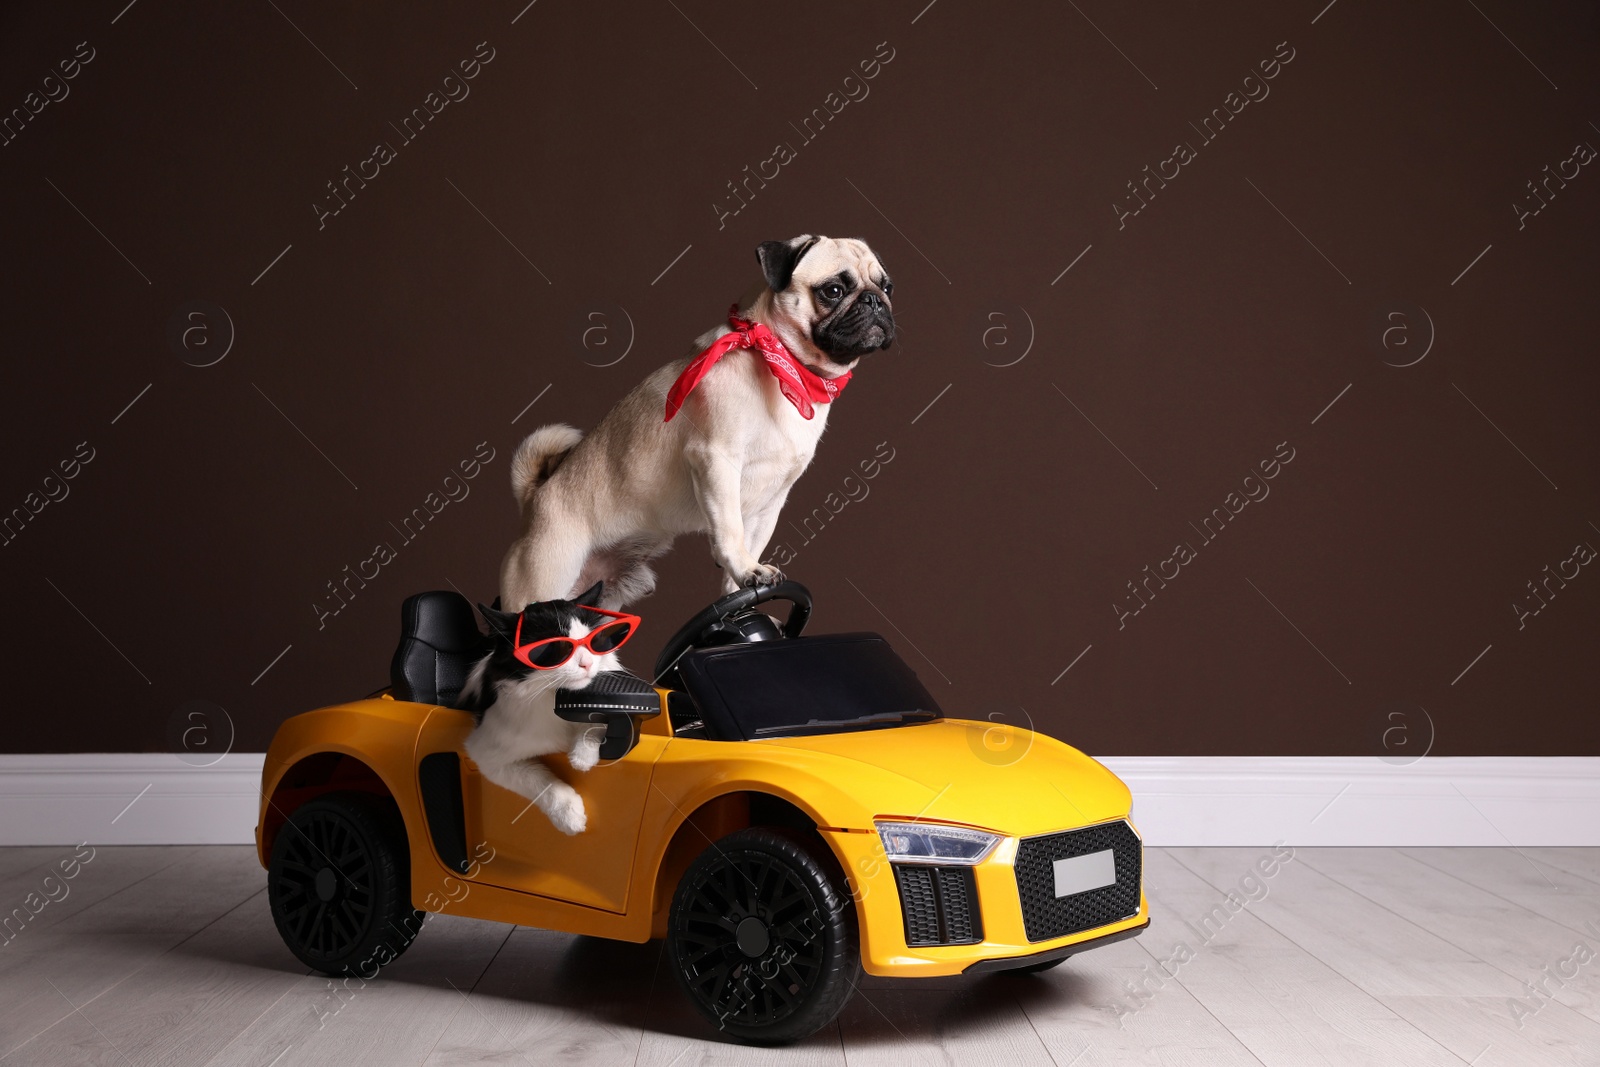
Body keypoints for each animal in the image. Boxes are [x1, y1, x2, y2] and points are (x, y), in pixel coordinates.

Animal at [457, 579, 624, 838]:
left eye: (591, 642)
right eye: (557, 647)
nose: (587, 664)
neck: (555, 699)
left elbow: (596, 721)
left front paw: (582, 756)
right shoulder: (485, 753)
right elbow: (540, 780)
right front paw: (569, 815)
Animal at [499, 233, 896, 617]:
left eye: (887, 287)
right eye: (833, 290)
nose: (875, 301)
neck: (785, 365)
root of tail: (535, 498)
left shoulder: (772, 499)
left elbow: (751, 541)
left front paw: (741, 594)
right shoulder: (717, 460)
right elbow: (730, 530)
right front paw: (745, 568)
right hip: (544, 580)